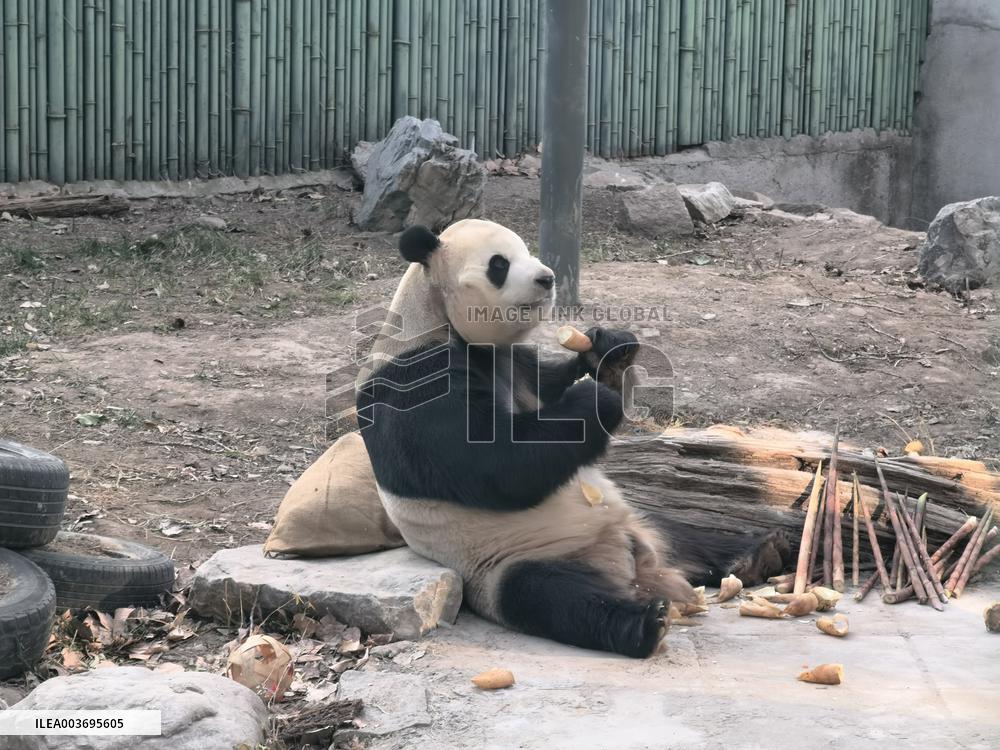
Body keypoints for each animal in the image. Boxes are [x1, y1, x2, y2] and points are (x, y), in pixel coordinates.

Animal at [356, 218, 790, 658]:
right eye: (500, 264)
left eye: (527, 250)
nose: (547, 278)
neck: (433, 315)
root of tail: (637, 567)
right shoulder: (417, 381)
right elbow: (492, 463)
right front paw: (596, 398)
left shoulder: (515, 363)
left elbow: (548, 385)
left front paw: (608, 350)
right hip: (507, 561)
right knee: (554, 596)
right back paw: (647, 622)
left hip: (639, 518)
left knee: (684, 533)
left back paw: (758, 554)